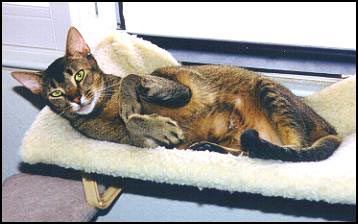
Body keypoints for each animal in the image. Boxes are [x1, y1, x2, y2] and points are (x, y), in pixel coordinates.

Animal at [11, 27, 342, 162]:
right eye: (55, 93)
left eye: (79, 75)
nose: (76, 98)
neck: (103, 109)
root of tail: (332, 129)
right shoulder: (137, 143)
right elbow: (137, 126)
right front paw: (156, 125)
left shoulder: (181, 90)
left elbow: (132, 78)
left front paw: (130, 104)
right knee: (256, 150)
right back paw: (207, 148)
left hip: (268, 90)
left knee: (293, 150)